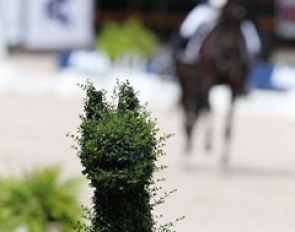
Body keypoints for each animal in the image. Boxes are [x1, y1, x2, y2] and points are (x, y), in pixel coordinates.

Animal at [176, 0, 252, 169]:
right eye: (224, 28)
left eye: (240, 29)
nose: (232, 66)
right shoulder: (207, 83)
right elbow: (209, 109)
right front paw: (208, 144)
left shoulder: (233, 89)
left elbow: (228, 124)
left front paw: (224, 160)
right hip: (186, 85)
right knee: (188, 112)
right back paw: (186, 155)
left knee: (194, 113)